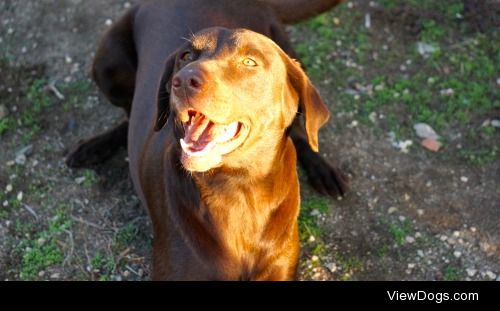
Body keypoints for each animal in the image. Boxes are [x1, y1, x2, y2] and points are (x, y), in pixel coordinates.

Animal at [66, 0, 348, 282]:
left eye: (249, 61)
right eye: (186, 56)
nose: (182, 81)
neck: (239, 190)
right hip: (107, 65)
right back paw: (93, 148)